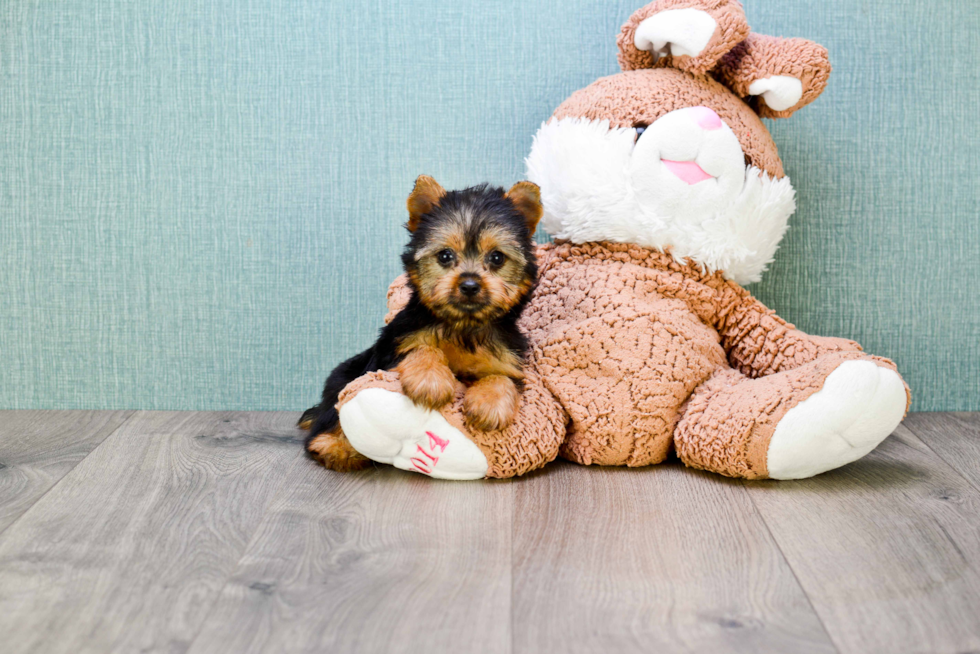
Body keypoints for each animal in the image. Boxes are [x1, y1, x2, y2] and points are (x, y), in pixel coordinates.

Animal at [298, 174, 544, 472]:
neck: (462, 325)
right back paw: (334, 446)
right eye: (445, 256)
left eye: (497, 257)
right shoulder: (397, 342)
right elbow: (422, 347)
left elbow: (502, 376)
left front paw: (490, 403)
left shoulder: (505, 357)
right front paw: (430, 380)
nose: (469, 285)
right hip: (345, 378)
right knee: (331, 415)